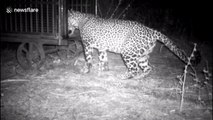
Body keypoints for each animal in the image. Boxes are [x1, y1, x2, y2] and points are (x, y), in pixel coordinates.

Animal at [68, 10, 198, 79]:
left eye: (68, 21)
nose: (68, 30)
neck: (80, 21)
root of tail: (152, 30)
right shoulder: (102, 47)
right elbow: (103, 58)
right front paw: (103, 69)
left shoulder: (87, 45)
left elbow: (89, 58)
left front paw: (86, 70)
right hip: (142, 55)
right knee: (147, 68)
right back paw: (140, 77)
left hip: (128, 52)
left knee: (134, 69)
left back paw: (125, 76)